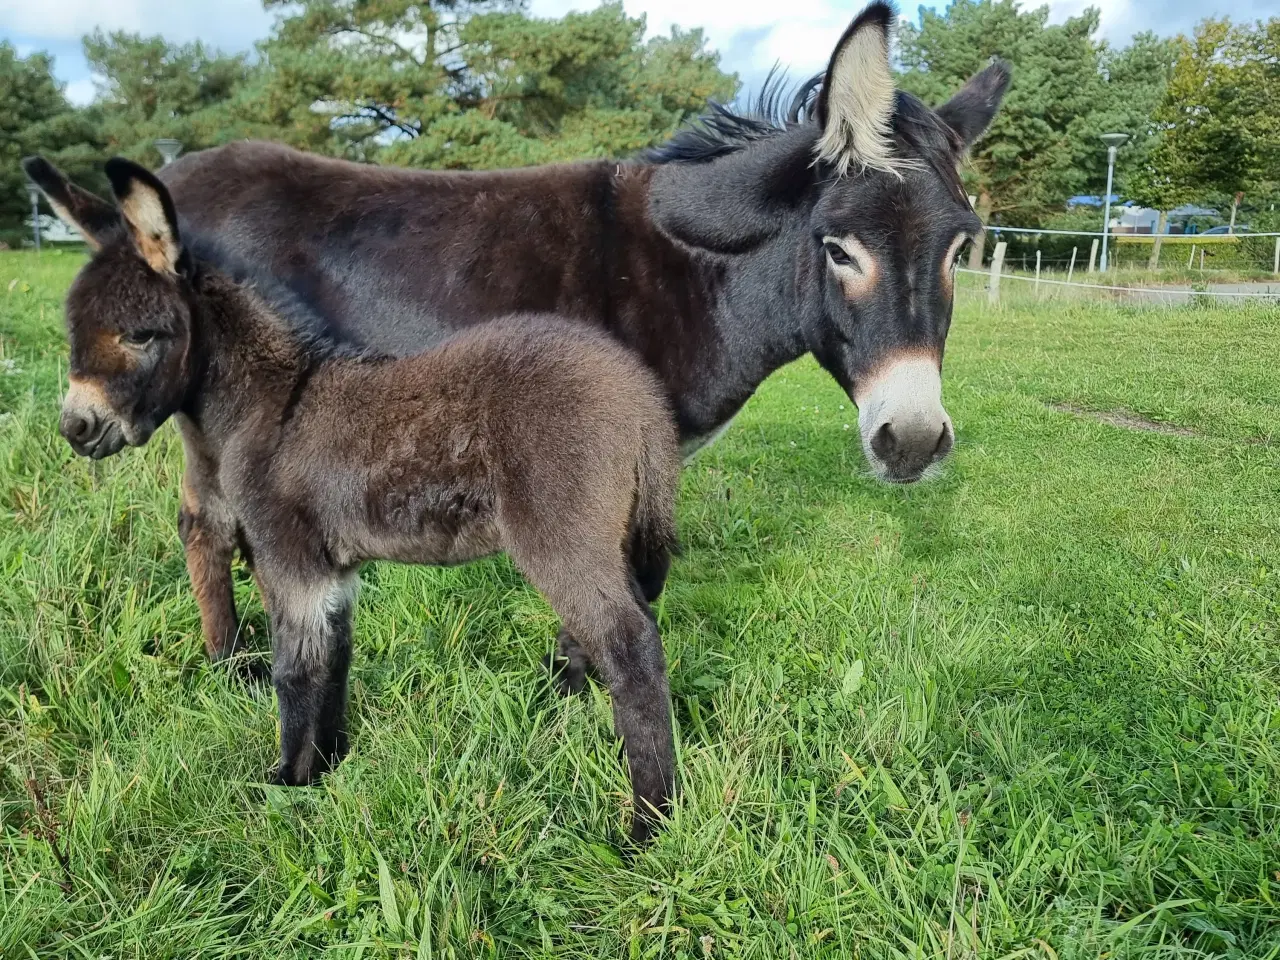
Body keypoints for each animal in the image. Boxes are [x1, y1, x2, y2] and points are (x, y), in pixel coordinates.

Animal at [49, 161, 686, 844]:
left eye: (140, 335)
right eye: (75, 335)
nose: (76, 429)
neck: (272, 401)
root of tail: (638, 392)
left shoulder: (287, 558)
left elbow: (294, 669)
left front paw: (286, 780)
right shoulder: (332, 570)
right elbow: (333, 658)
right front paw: (324, 767)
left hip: (560, 535)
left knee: (631, 645)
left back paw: (649, 822)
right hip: (617, 534)